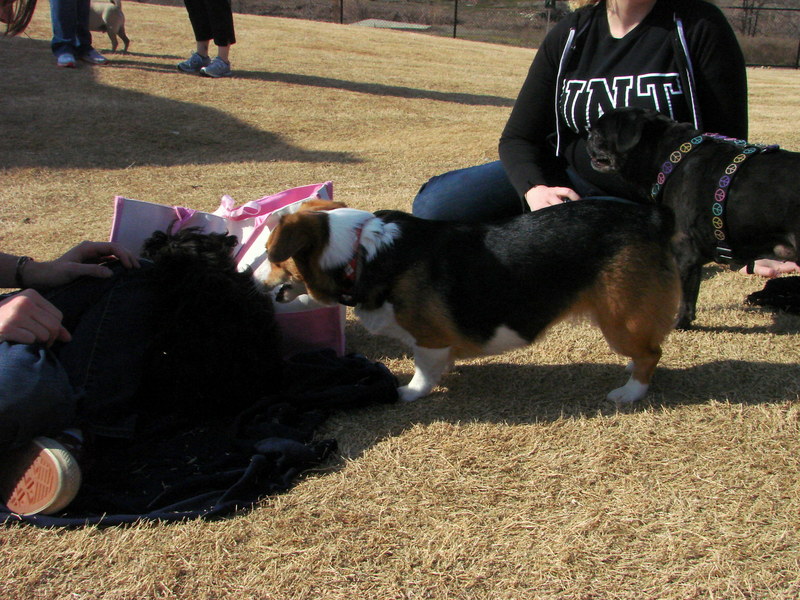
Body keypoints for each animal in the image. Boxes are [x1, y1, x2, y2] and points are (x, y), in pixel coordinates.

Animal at [584, 110, 796, 330]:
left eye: (597, 134)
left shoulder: (685, 252)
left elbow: (686, 297)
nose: (587, 137)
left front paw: (679, 323)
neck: (668, 157)